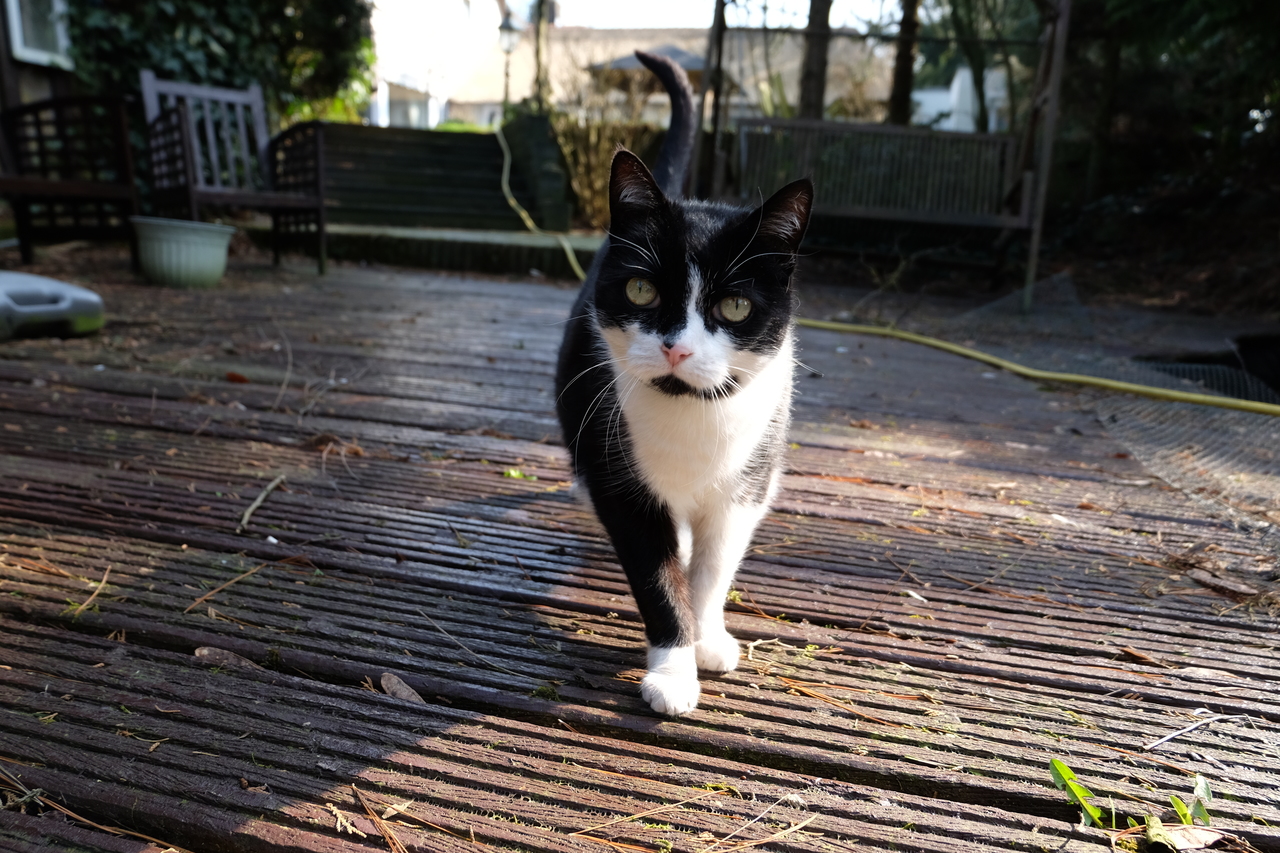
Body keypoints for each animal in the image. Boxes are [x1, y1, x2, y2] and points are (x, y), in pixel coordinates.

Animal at [555, 51, 812, 716]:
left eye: (735, 306)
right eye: (642, 289)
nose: (677, 345)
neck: (692, 414)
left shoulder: (747, 484)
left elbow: (716, 566)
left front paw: (708, 637)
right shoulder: (624, 482)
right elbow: (656, 573)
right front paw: (673, 670)